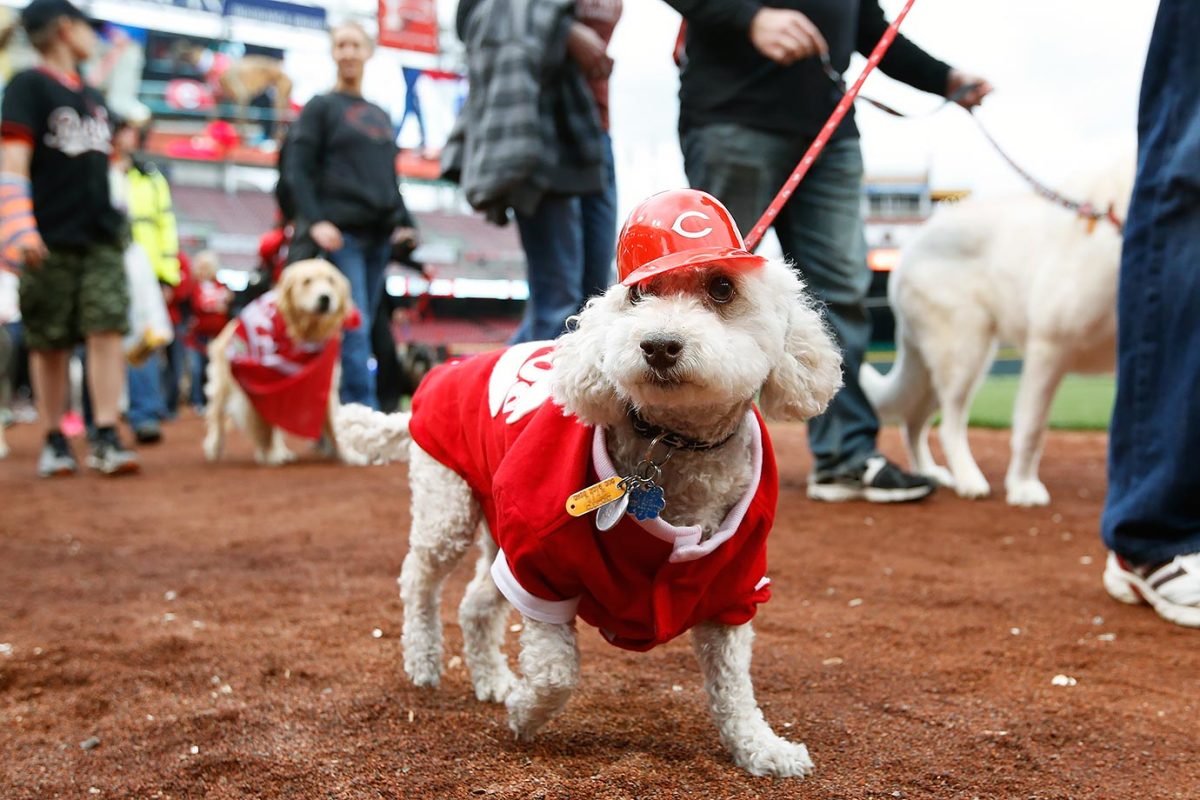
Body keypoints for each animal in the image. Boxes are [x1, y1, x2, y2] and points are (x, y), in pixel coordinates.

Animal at [864, 160, 1123, 506]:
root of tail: (912, 244)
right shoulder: (1049, 344)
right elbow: (1032, 427)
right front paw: (1023, 487)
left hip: (940, 362)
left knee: (914, 421)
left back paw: (928, 471)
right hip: (964, 350)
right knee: (950, 425)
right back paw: (969, 479)